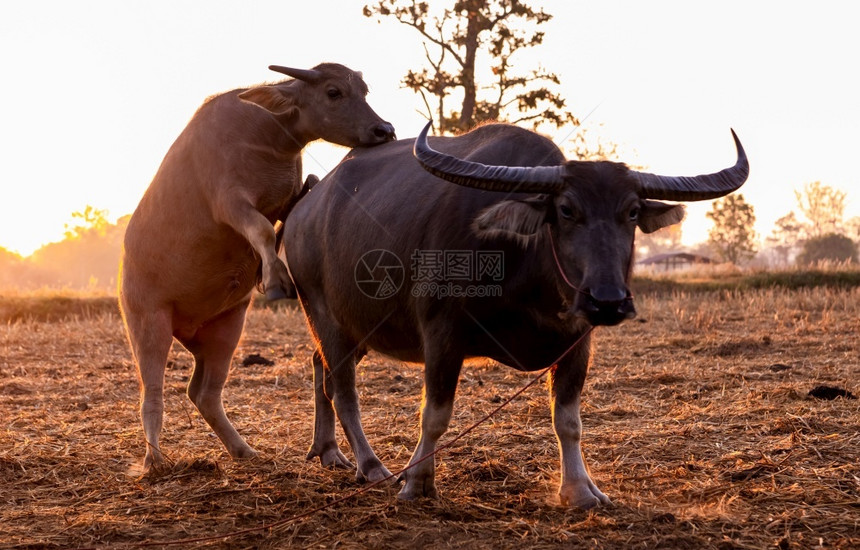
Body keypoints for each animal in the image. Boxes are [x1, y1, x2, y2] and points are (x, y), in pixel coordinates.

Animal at [119, 62, 394, 472]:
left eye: (364, 91)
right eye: (333, 92)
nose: (384, 130)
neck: (267, 136)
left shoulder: (286, 194)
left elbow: (307, 187)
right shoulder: (229, 202)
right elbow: (260, 228)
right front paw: (276, 279)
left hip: (226, 327)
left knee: (203, 392)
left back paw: (242, 449)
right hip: (148, 321)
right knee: (151, 394)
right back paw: (154, 461)